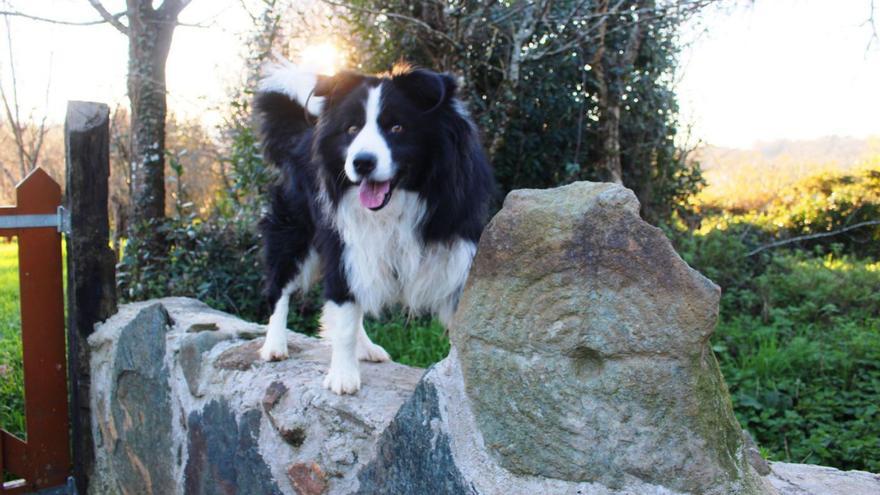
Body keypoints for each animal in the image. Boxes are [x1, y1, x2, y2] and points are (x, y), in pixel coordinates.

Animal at [253, 61, 496, 396]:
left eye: (397, 128)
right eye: (352, 130)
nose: (362, 163)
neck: (405, 197)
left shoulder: (456, 232)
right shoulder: (343, 236)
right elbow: (343, 306)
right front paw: (343, 378)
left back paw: (367, 350)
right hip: (296, 223)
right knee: (281, 281)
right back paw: (275, 346)